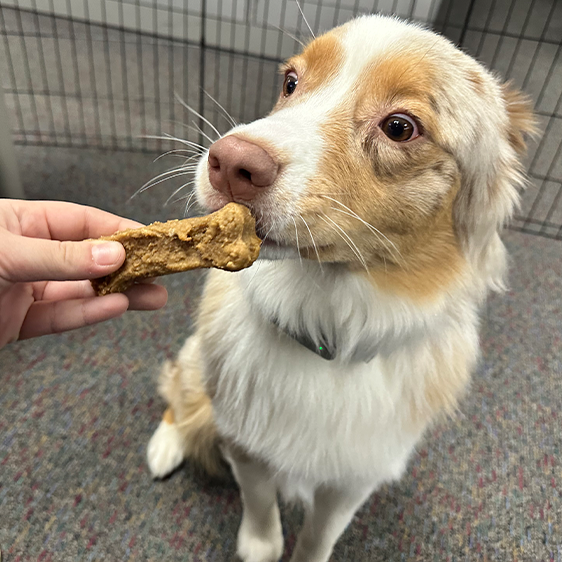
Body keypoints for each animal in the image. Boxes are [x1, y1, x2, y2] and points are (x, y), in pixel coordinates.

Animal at [143, 14, 528, 560]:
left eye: (400, 127)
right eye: (289, 81)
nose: (230, 162)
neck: (328, 325)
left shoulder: (354, 478)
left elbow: (319, 535)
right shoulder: (245, 442)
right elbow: (260, 507)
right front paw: (259, 544)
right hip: (203, 364)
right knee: (181, 388)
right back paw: (165, 445)